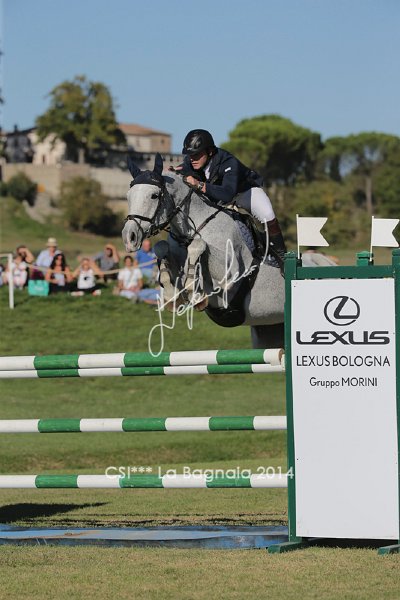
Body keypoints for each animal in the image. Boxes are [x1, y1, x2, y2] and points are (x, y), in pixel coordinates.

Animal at [122, 153, 285, 349]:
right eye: (128, 196)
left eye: (154, 196)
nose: (129, 237)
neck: (190, 231)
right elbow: (161, 247)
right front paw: (171, 296)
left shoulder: (231, 273)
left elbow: (198, 244)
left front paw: (194, 290)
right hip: (268, 329)